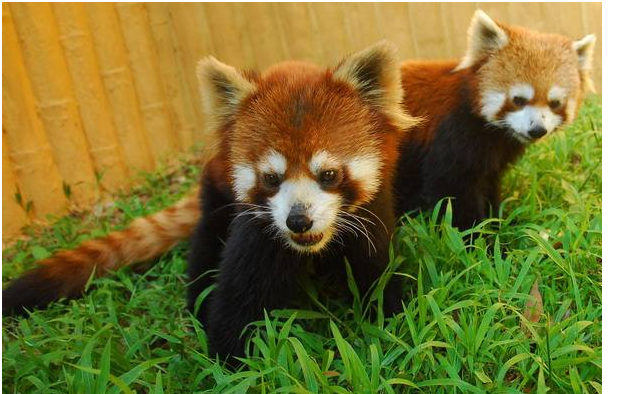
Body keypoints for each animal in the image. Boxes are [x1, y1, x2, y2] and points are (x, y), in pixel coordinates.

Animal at [4, 42, 422, 358]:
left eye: (329, 175)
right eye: (271, 179)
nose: (297, 220)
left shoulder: (371, 212)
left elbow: (375, 272)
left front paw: (389, 326)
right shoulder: (257, 230)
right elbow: (237, 300)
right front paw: (233, 364)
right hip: (217, 192)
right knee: (207, 239)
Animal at [394, 10, 600, 228]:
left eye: (554, 103)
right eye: (518, 100)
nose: (537, 130)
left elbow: (488, 184)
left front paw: (497, 221)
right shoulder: (451, 136)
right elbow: (451, 192)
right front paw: (475, 233)